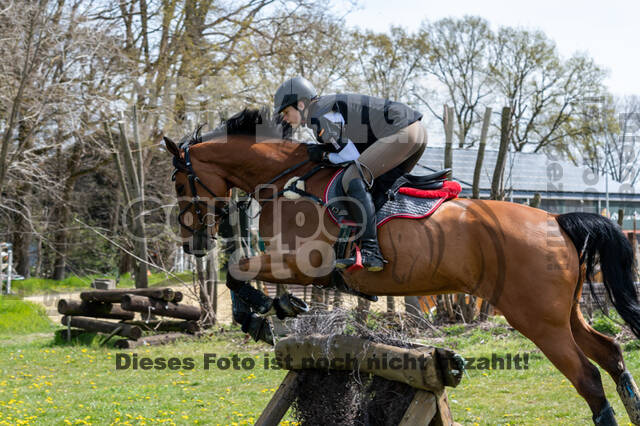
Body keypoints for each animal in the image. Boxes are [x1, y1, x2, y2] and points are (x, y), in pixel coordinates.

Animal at [165, 109, 640, 422]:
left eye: (179, 182)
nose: (191, 243)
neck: (288, 182)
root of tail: (556, 220)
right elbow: (239, 271)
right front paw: (266, 314)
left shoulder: (307, 264)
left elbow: (238, 270)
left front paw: (265, 313)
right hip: (563, 313)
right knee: (610, 354)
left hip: (536, 319)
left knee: (588, 378)